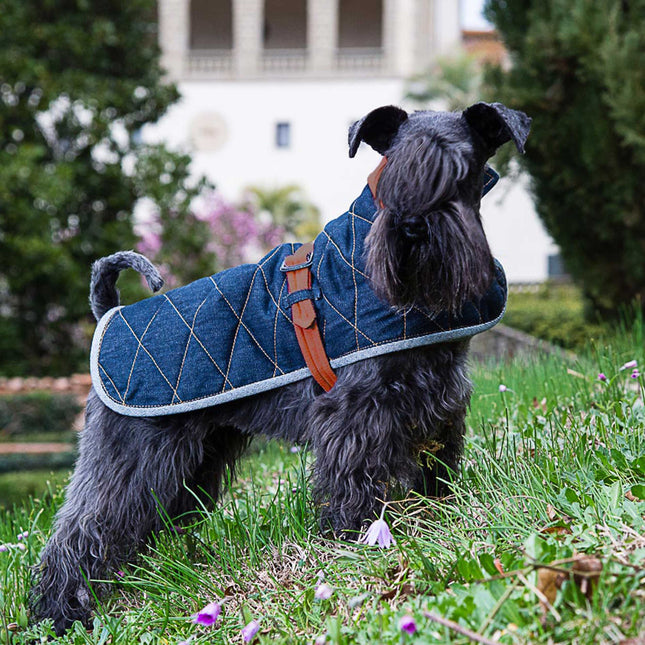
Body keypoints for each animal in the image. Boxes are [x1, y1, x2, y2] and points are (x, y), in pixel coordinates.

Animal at [30, 103, 528, 632]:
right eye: (392, 168)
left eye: (459, 169)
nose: (412, 224)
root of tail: (108, 312)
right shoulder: (357, 412)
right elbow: (353, 477)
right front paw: (353, 535)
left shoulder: (438, 401)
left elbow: (435, 461)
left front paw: (436, 508)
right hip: (128, 457)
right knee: (83, 529)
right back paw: (59, 612)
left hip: (192, 458)